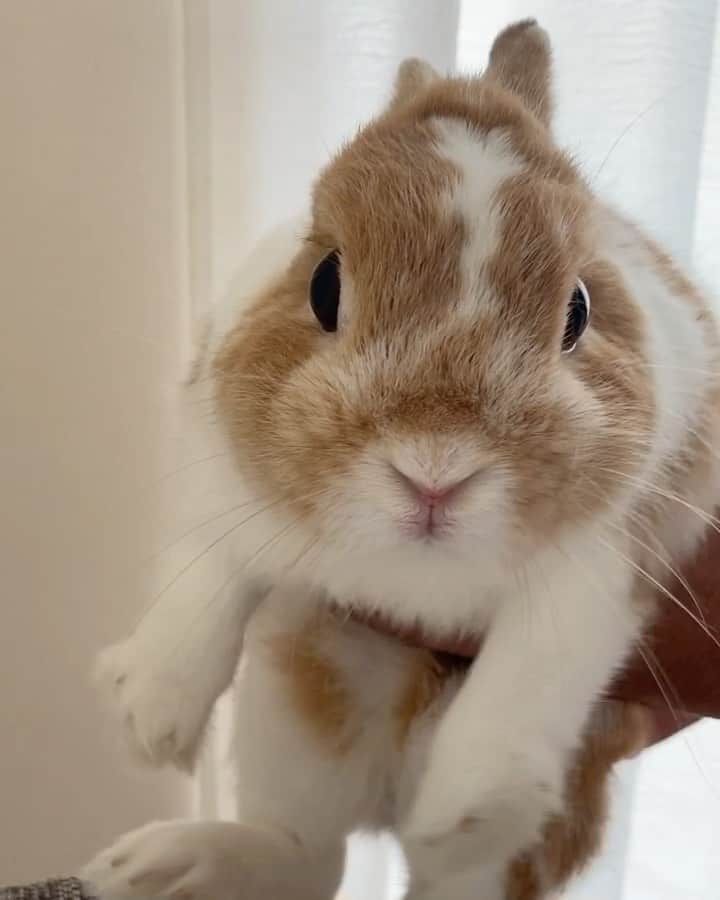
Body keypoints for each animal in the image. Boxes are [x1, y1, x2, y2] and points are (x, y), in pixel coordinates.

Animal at [82, 19, 720, 900]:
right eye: (323, 284)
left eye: (579, 311)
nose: (435, 473)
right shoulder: (221, 481)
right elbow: (203, 577)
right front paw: (147, 715)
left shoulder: (605, 564)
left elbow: (530, 671)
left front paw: (460, 815)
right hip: (297, 687)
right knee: (306, 854)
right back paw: (164, 865)